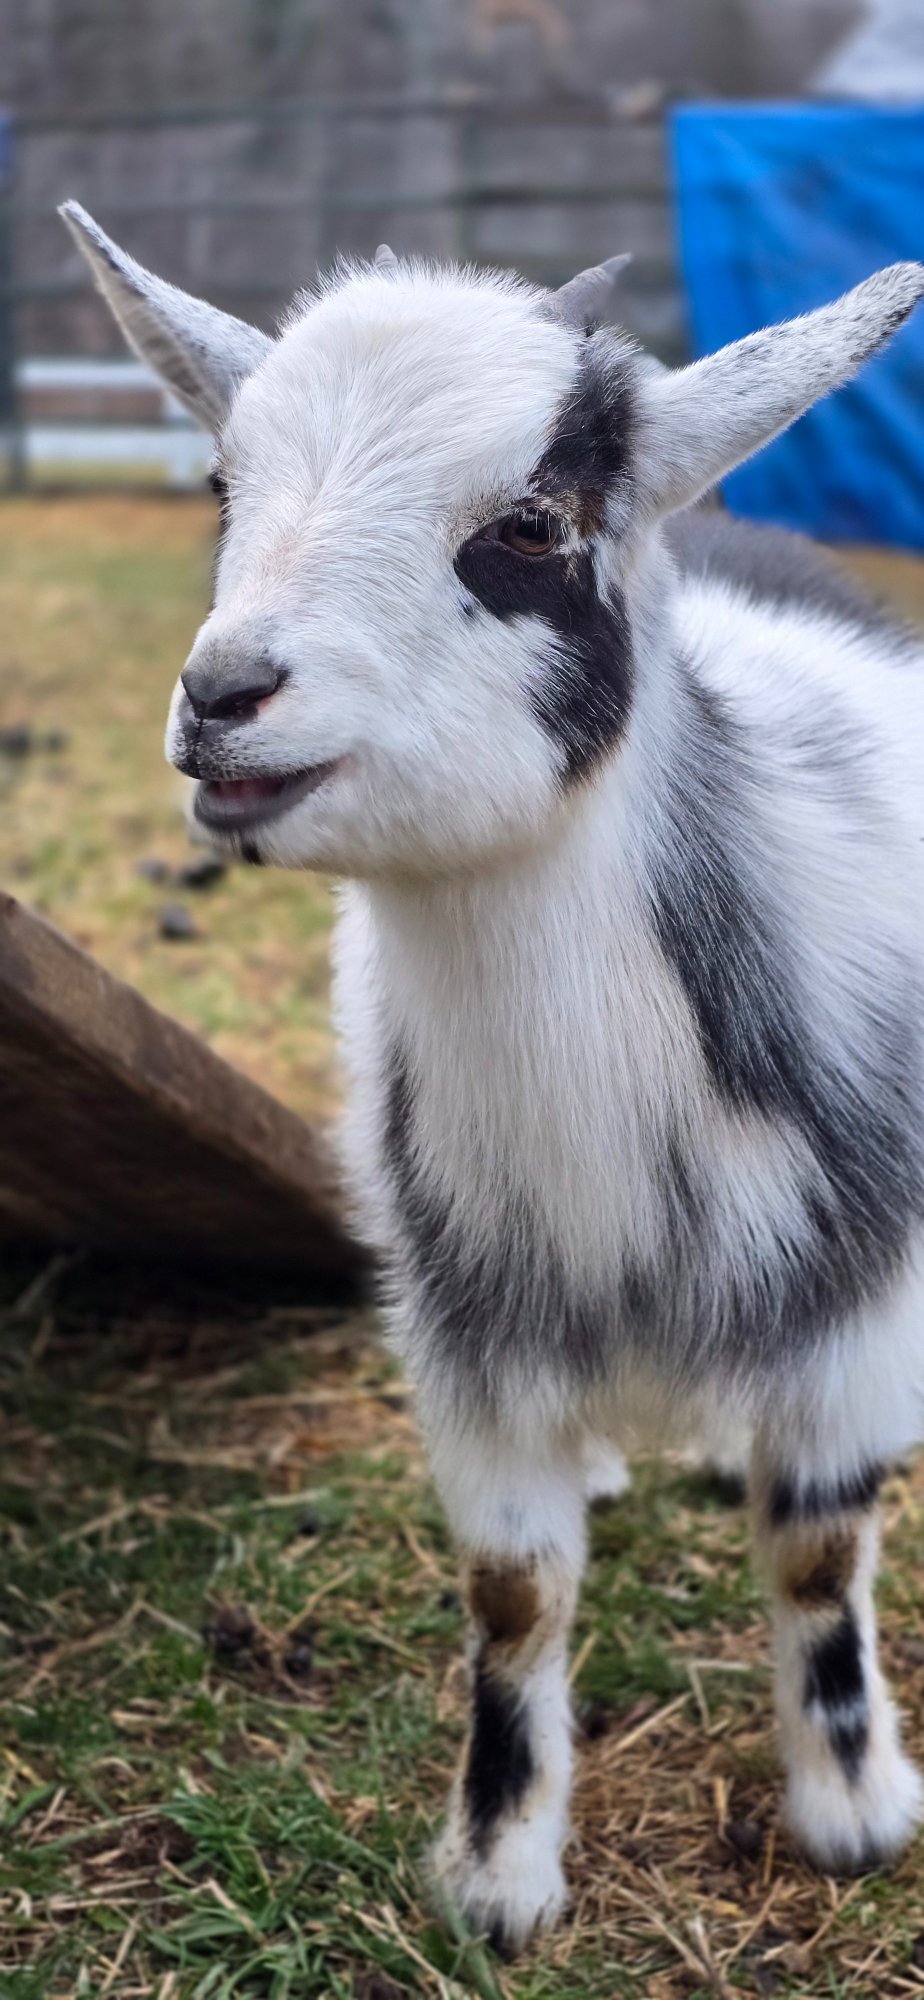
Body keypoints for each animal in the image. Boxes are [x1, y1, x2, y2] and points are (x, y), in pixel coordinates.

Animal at [61, 199, 924, 1951]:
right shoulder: (467, 1322)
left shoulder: (862, 1305)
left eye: (528, 526)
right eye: (223, 485)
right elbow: (515, 1592)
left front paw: (855, 1811)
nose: (224, 699)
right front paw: (498, 1879)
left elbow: (817, 1552)